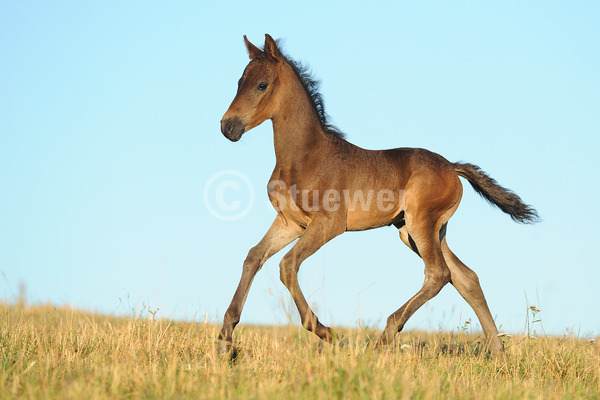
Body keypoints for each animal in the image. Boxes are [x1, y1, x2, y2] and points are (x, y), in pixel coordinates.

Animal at [217, 34, 540, 354]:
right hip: (422, 231)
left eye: (262, 85)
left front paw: (326, 332)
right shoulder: (290, 222)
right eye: (239, 81)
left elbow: (287, 265)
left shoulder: (329, 224)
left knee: (439, 274)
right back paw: (497, 351)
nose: (227, 126)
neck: (305, 156)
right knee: (465, 277)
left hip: (421, 224)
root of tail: (452, 167)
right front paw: (225, 339)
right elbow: (254, 257)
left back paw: (385, 335)